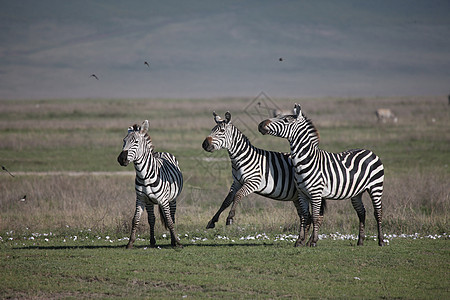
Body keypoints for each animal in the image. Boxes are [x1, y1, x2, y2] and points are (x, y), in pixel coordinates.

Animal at [118, 120, 185, 248]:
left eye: (136, 142)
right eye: (124, 141)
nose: (121, 159)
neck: (144, 176)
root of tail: (161, 152)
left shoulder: (164, 200)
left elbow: (169, 221)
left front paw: (178, 242)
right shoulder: (141, 199)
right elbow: (136, 220)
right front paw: (130, 242)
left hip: (172, 199)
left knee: (172, 217)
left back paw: (173, 241)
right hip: (150, 202)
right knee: (152, 219)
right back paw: (153, 241)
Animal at [258, 104, 384, 247]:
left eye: (285, 120)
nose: (261, 124)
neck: (306, 160)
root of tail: (370, 151)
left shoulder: (316, 193)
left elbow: (315, 217)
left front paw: (313, 241)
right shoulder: (302, 194)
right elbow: (305, 216)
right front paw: (300, 241)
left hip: (376, 187)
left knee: (378, 212)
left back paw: (381, 240)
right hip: (357, 192)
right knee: (361, 212)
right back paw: (360, 241)